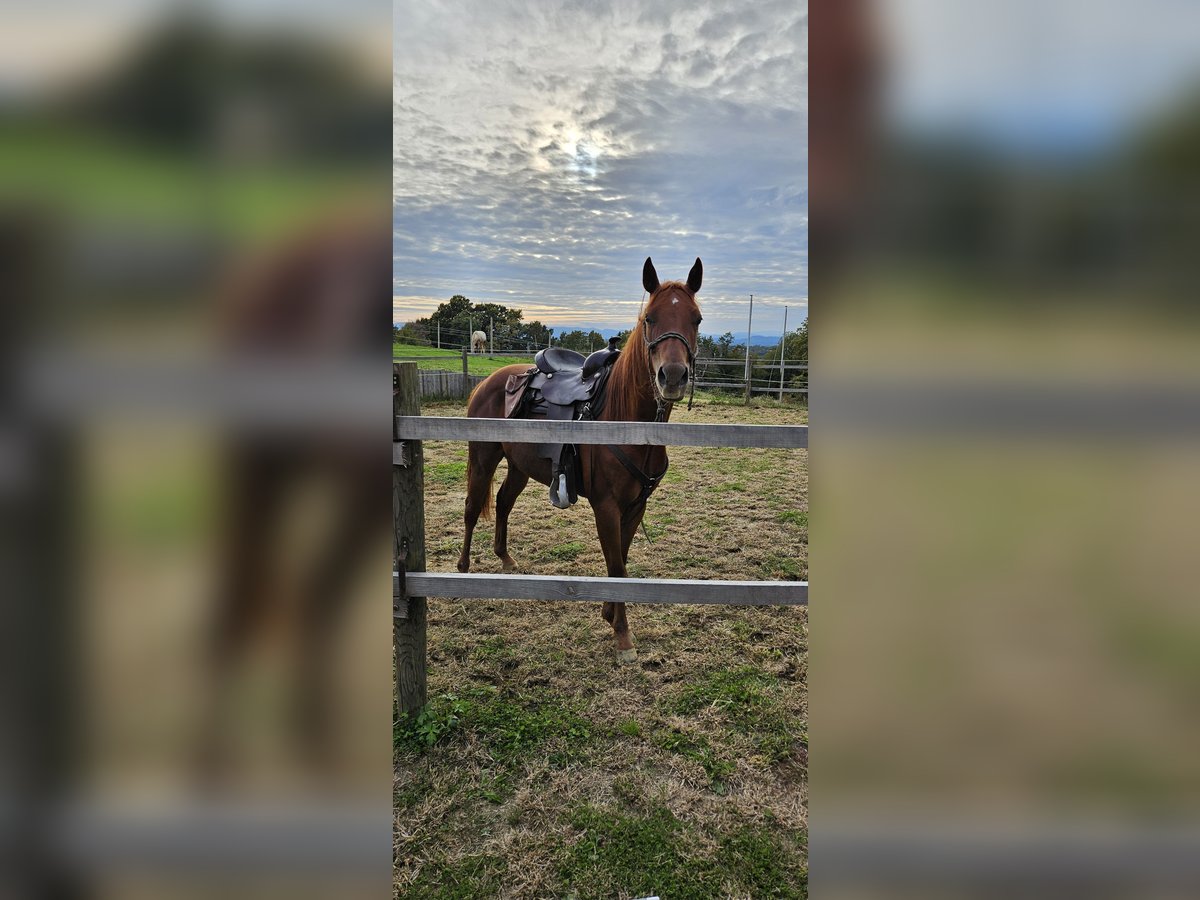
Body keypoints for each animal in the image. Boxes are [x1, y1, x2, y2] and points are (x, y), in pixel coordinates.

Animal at [456, 256, 700, 657]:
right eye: (650, 318)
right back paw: (461, 570)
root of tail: (490, 380)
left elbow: (622, 561)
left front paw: (609, 614)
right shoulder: (606, 506)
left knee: (504, 502)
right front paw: (622, 635)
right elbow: (616, 567)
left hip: (520, 466)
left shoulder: (636, 506)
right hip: (482, 459)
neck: (626, 420)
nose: (673, 376)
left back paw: (505, 558)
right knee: (473, 507)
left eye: (696, 319)